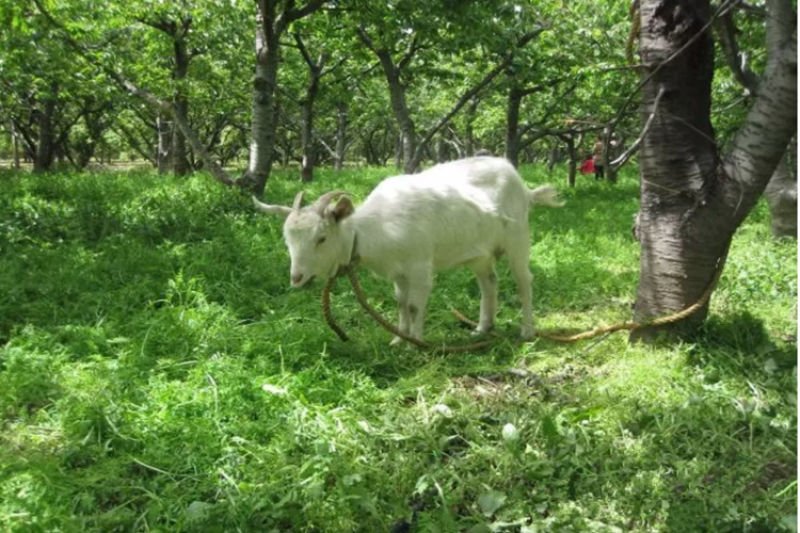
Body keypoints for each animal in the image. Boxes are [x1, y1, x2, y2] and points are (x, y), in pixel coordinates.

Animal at [255, 156, 564, 342]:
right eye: (287, 240)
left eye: (321, 238)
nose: (297, 278)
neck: (373, 229)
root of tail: (523, 186)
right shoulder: (398, 272)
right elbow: (401, 303)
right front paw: (397, 338)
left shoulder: (419, 267)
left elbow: (415, 306)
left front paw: (415, 342)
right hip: (480, 253)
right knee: (489, 281)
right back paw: (481, 329)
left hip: (518, 237)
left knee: (523, 280)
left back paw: (527, 331)